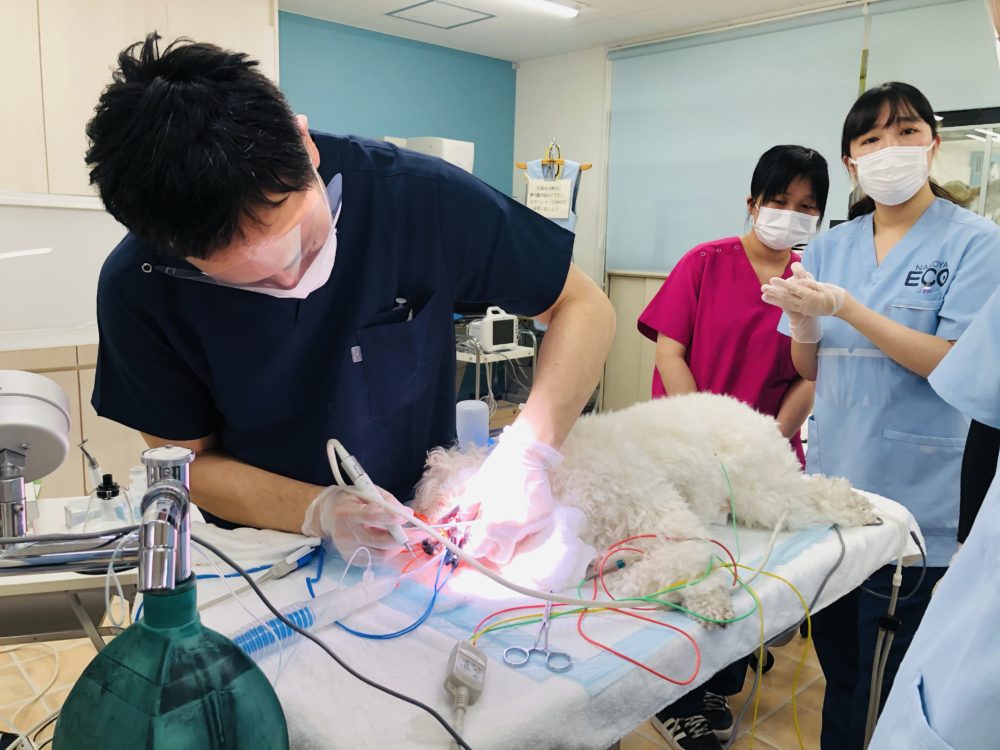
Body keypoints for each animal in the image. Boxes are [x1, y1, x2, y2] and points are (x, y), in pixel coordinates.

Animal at [412, 396, 876, 624]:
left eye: (439, 507)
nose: (426, 547)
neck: (560, 482)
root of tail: (754, 412)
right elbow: (627, 577)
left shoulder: (667, 519)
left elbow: (684, 558)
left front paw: (705, 601)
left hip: (761, 491)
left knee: (816, 494)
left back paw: (861, 508)